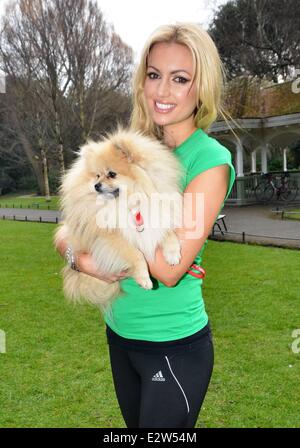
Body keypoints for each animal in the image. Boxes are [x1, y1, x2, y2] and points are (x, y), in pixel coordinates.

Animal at [55, 128, 184, 312]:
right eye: (97, 175)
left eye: (112, 174)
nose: (96, 185)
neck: (128, 201)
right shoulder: (110, 237)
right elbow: (136, 254)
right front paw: (144, 279)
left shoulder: (158, 214)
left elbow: (167, 232)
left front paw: (173, 254)